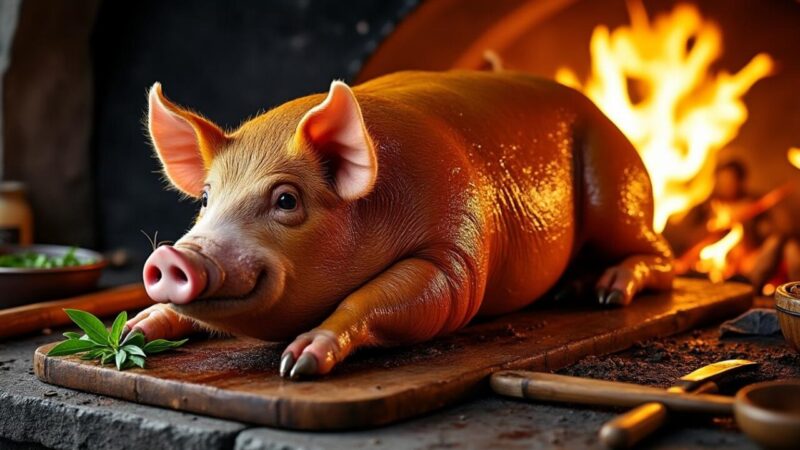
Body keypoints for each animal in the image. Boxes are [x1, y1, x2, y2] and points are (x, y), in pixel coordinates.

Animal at [127, 70, 674, 379]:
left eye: (286, 199)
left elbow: (392, 298)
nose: (173, 255)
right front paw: (137, 329)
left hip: (614, 183)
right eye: (205, 197)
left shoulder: (454, 255)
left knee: (659, 256)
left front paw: (298, 364)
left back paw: (607, 292)